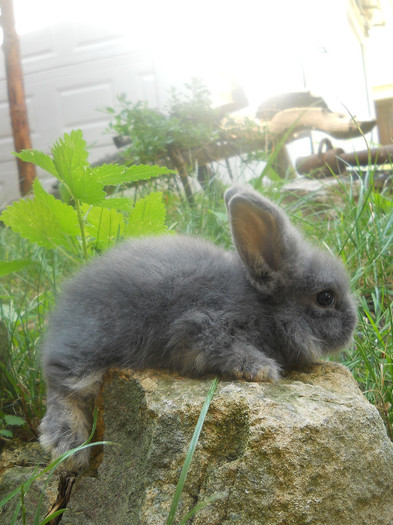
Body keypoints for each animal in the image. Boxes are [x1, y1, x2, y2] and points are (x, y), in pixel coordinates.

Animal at [39, 185, 356, 466]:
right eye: (326, 298)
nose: (352, 327)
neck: (263, 305)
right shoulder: (202, 326)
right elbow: (228, 349)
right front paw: (262, 370)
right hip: (89, 348)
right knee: (62, 386)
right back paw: (69, 447)